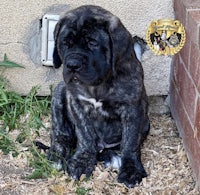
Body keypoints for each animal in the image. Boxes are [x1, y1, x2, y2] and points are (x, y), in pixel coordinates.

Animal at [47, 4, 149, 187]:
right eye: (65, 43)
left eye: (92, 43)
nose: (72, 65)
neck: (98, 84)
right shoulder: (77, 103)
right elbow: (85, 135)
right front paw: (82, 161)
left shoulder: (132, 108)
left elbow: (130, 141)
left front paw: (131, 170)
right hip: (59, 92)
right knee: (60, 133)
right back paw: (57, 154)